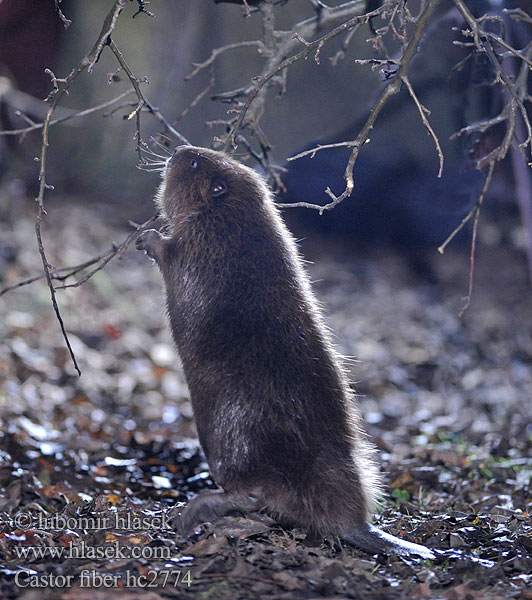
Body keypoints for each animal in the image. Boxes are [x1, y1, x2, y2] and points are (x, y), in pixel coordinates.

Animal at [135, 146, 434, 556]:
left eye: (195, 163)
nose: (180, 150)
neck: (235, 218)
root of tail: (354, 523)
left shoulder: (201, 243)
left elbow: (170, 256)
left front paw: (146, 238)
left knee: (252, 494)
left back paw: (192, 513)